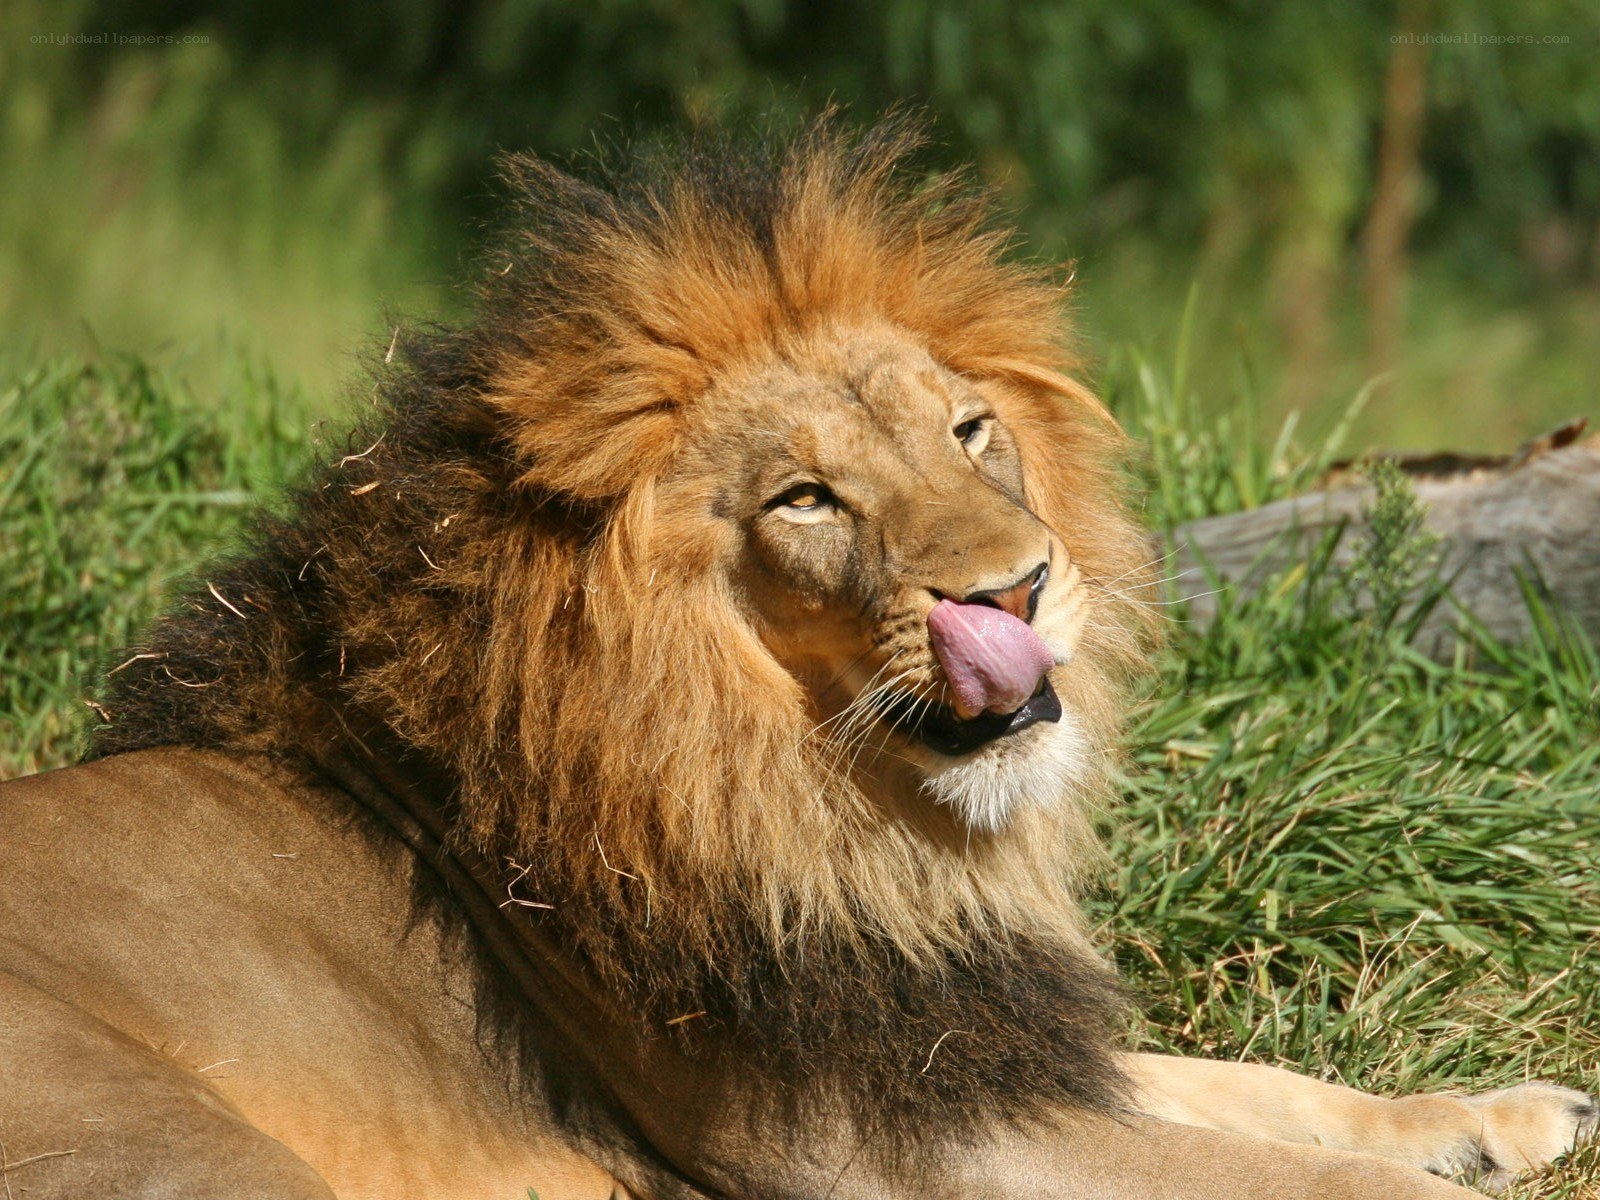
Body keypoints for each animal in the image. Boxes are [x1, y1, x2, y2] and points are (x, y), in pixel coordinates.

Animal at [0, 116, 1592, 1200]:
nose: (1021, 589)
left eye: (969, 430)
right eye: (807, 500)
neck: (819, 803)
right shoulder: (881, 1150)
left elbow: (1256, 1091)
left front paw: (1500, 1118)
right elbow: (1282, 1172)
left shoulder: (950, 1051)